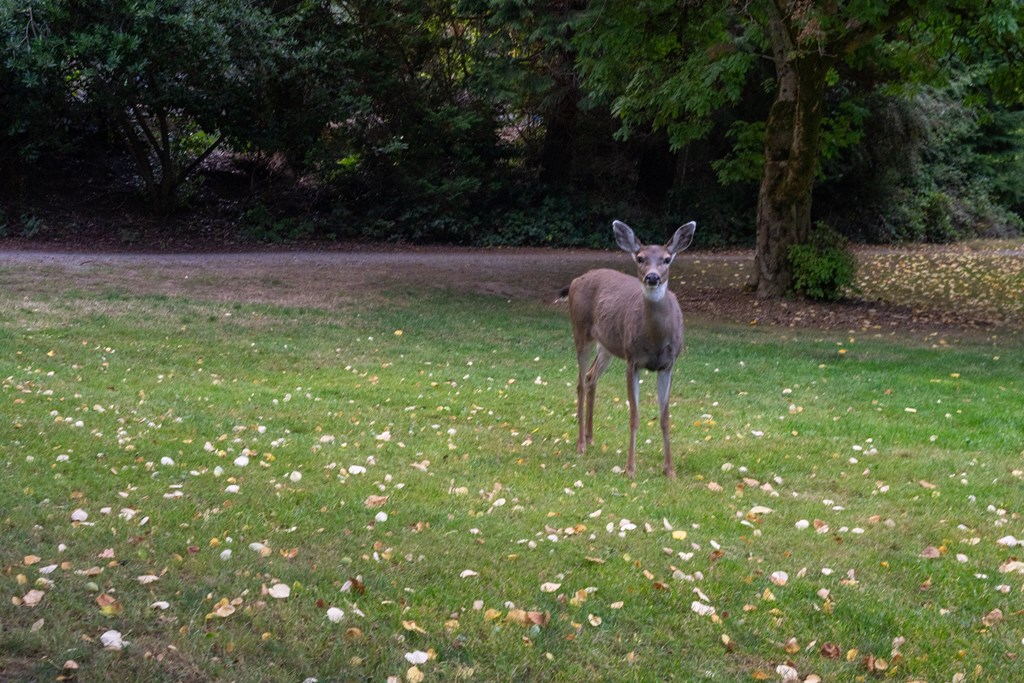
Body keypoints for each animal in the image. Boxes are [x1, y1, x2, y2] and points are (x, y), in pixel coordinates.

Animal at [567, 220, 696, 478]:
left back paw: (591, 437)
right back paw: (581, 444)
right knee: (580, 382)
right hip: (580, 331)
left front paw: (670, 470)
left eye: (667, 259)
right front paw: (630, 468)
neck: (655, 340)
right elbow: (634, 416)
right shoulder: (632, 360)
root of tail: (576, 280)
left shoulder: (668, 365)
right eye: (640, 257)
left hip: (607, 345)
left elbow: (665, 417)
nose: (652, 277)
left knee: (591, 376)